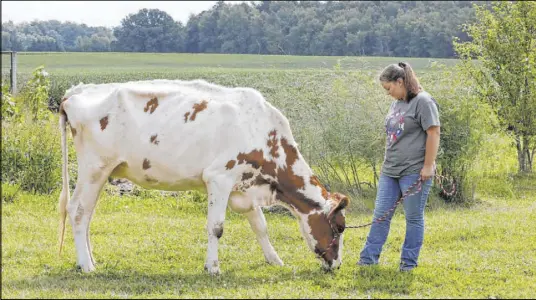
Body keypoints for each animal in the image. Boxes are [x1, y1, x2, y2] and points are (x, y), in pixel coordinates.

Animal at [58, 79, 350, 274]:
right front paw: (213, 267)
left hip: (102, 173)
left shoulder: (244, 187)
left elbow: (261, 226)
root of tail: (76, 91)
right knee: (78, 210)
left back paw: (89, 260)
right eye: (339, 227)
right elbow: (216, 227)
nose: (336, 264)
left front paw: (274, 259)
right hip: (94, 168)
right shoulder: (220, 178)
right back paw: (86, 265)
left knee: (87, 214)